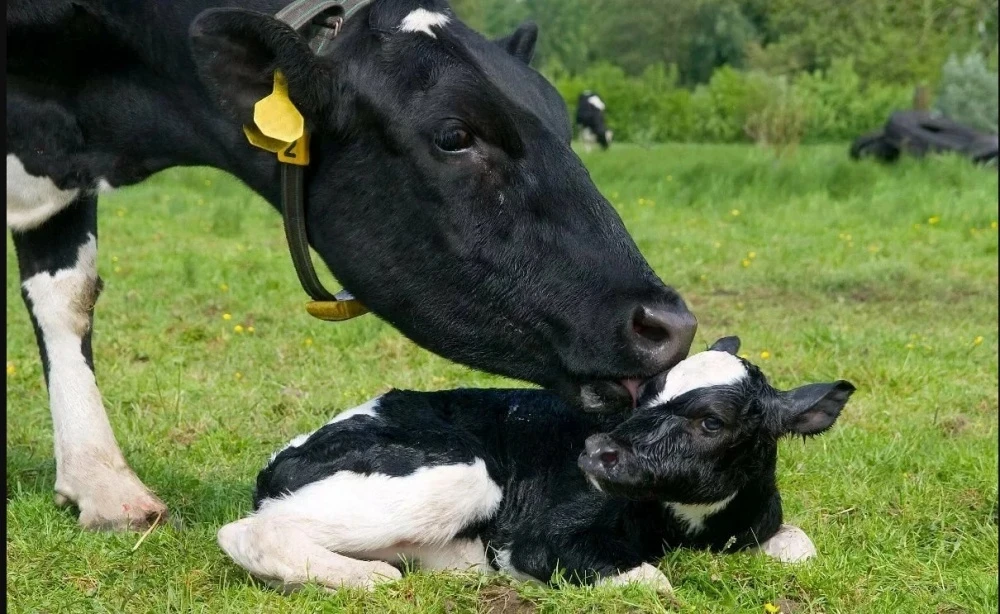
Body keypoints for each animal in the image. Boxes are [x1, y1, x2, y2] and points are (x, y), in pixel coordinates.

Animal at [217, 337, 855, 592]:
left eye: (712, 423)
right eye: (645, 392)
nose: (597, 450)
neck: (686, 527)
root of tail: (282, 458)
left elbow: (800, 546)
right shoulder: (541, 539)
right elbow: (652, 580)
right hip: (461, 475)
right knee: (246, 531)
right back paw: (368, 578)